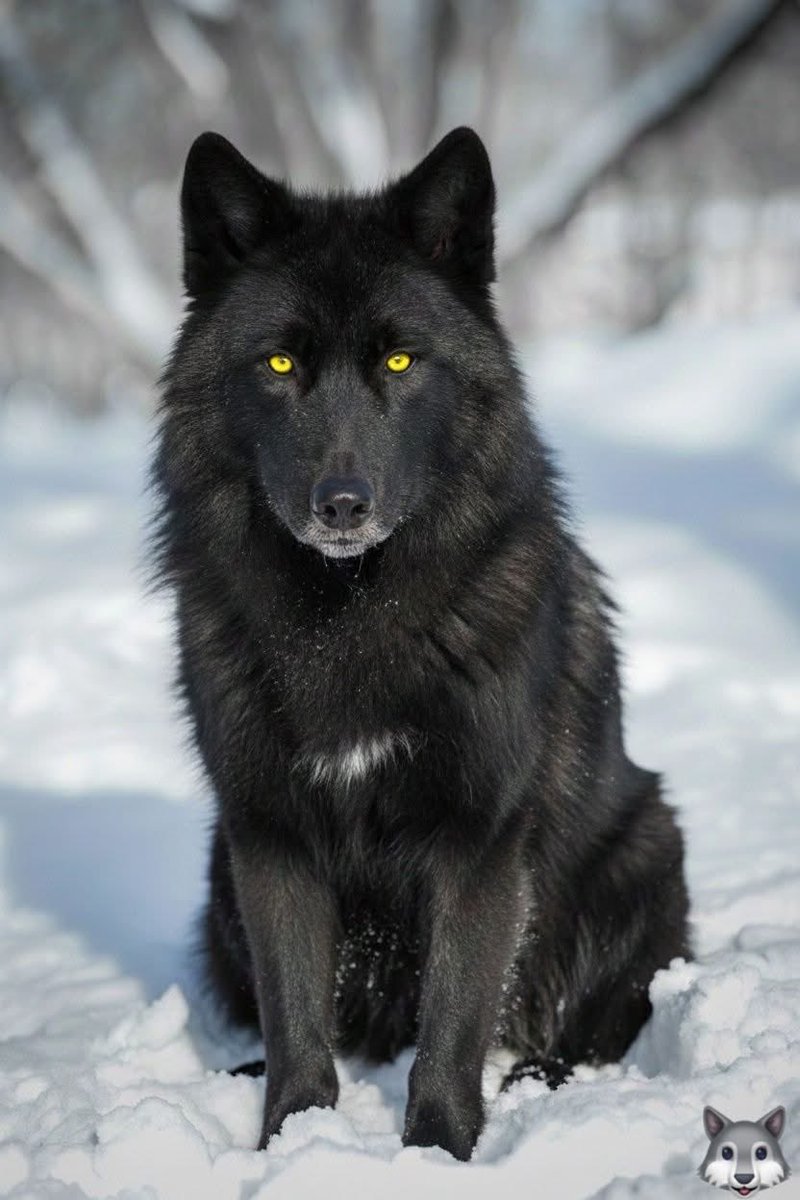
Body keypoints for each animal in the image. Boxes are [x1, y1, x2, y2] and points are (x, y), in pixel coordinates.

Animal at [151, 126, 690, 1161]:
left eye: (401, 363)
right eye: (280, 366)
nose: (342, 504)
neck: (347, 618)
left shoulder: (476, 840)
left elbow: (452, 1024)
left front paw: (437, 1153)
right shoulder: (268, 833)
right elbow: (296, 1022)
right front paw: (293, 1144)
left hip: (642, 849)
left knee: (592, 1028)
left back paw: (540, 1083)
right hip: (215, 873)